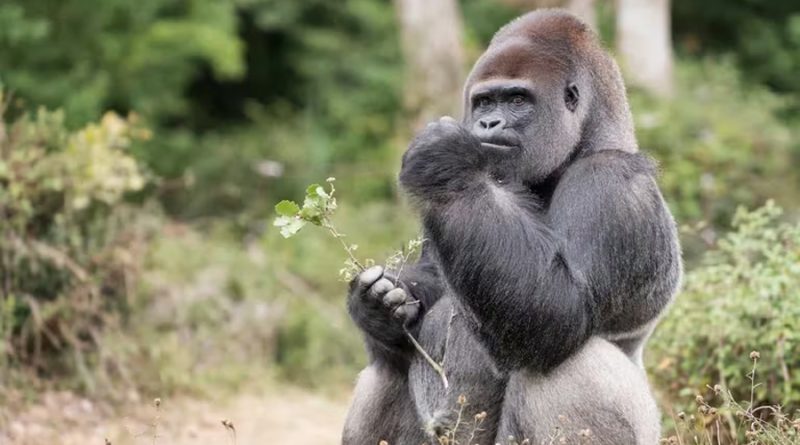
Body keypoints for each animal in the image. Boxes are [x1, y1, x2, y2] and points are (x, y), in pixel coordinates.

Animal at [344, 9, 680, 444]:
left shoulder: (611, 183)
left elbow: (560, 313)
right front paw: (376, 306)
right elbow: (436, 275)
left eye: (517, 99)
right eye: (485, 101)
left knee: (571, 364)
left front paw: (445, 163)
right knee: (384, 371)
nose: (488, 123)